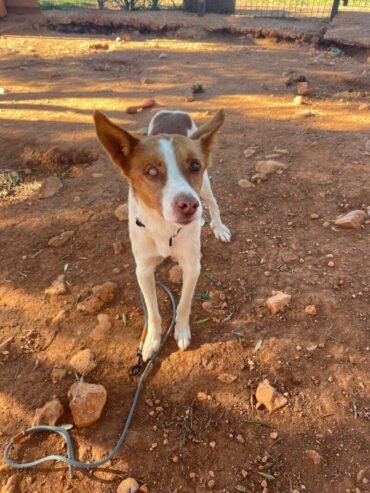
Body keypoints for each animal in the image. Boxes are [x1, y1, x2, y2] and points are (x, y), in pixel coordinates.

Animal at [94, 108, 230, 362]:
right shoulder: (143, 270)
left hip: (205, 186)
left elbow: (184, 304)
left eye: (194, 165)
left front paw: (182, 332)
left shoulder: (192, 266)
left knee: (213, 202)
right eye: (151, 171)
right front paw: (151, 341)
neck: (164, 228)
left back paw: (218, 227)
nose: (190, 205)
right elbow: (153, 312)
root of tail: (174, 111)